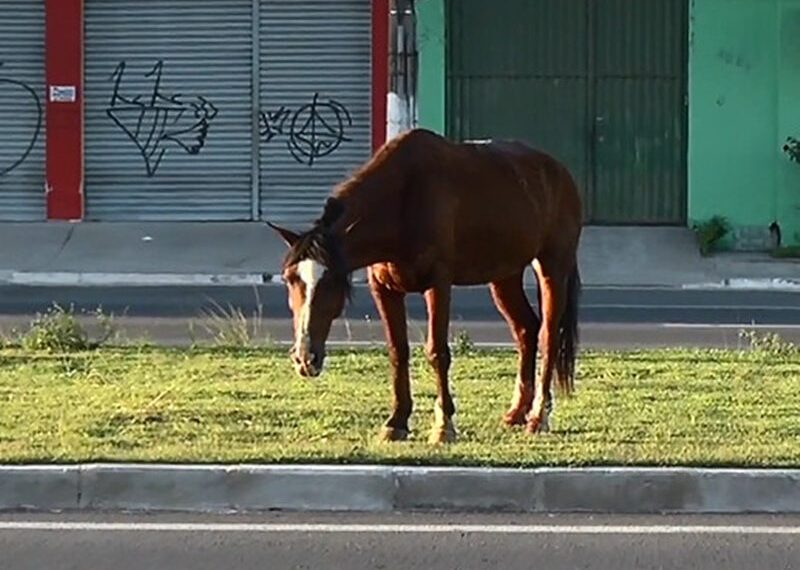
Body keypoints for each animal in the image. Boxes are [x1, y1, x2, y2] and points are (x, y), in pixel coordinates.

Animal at [268, 128, 583, 443]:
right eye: (289, 279)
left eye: (331, 280)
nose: (305, 357)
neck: (402, 201)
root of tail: (561, 173)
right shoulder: (383, 289)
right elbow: (398, 351)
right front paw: (396, 422)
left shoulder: (438, 284)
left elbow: (437, 352)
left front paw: (443, 425)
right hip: (505, 274)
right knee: (526, 330)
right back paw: (517, 412)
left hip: (552, 267)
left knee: (548, 336)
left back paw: (538, 416)